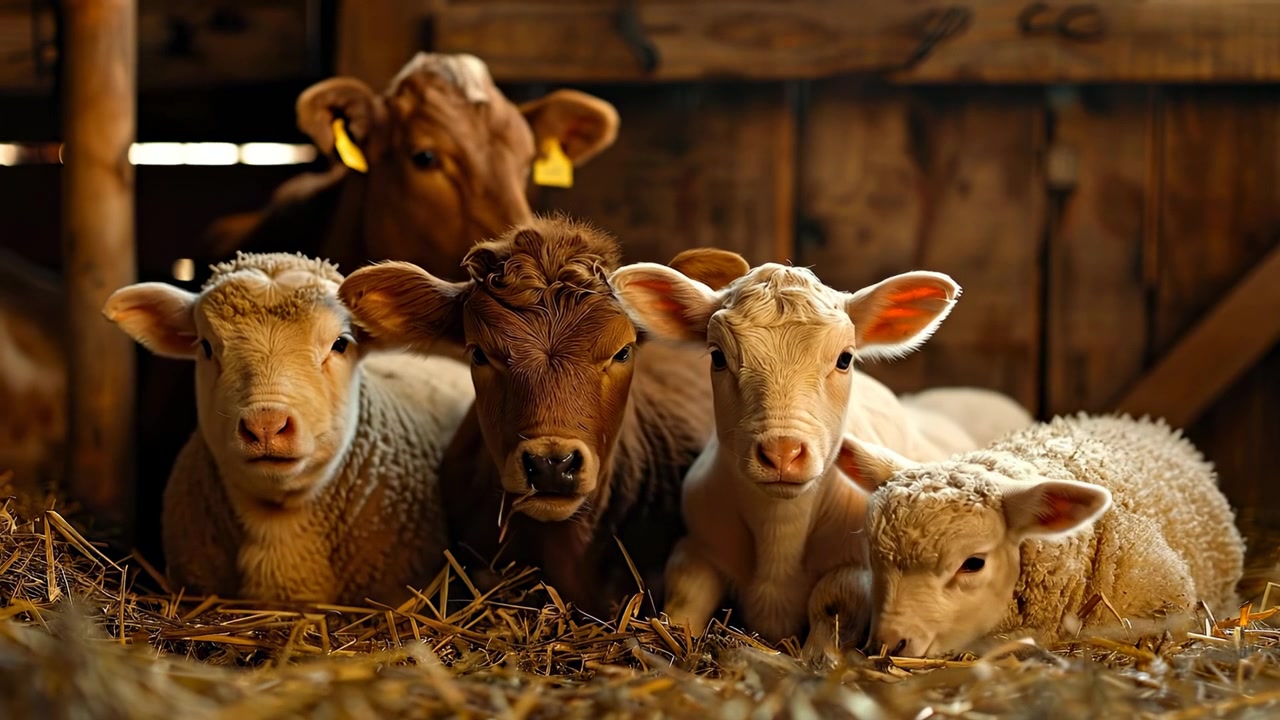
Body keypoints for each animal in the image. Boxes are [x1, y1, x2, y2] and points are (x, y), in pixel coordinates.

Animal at [609, 260, 1032, 657]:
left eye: (845, 359)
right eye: (717, 357)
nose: (782, 452)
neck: (780, 530)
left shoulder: (858, 566)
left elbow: (834, 598)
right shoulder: (698, 545)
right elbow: (684, 599)